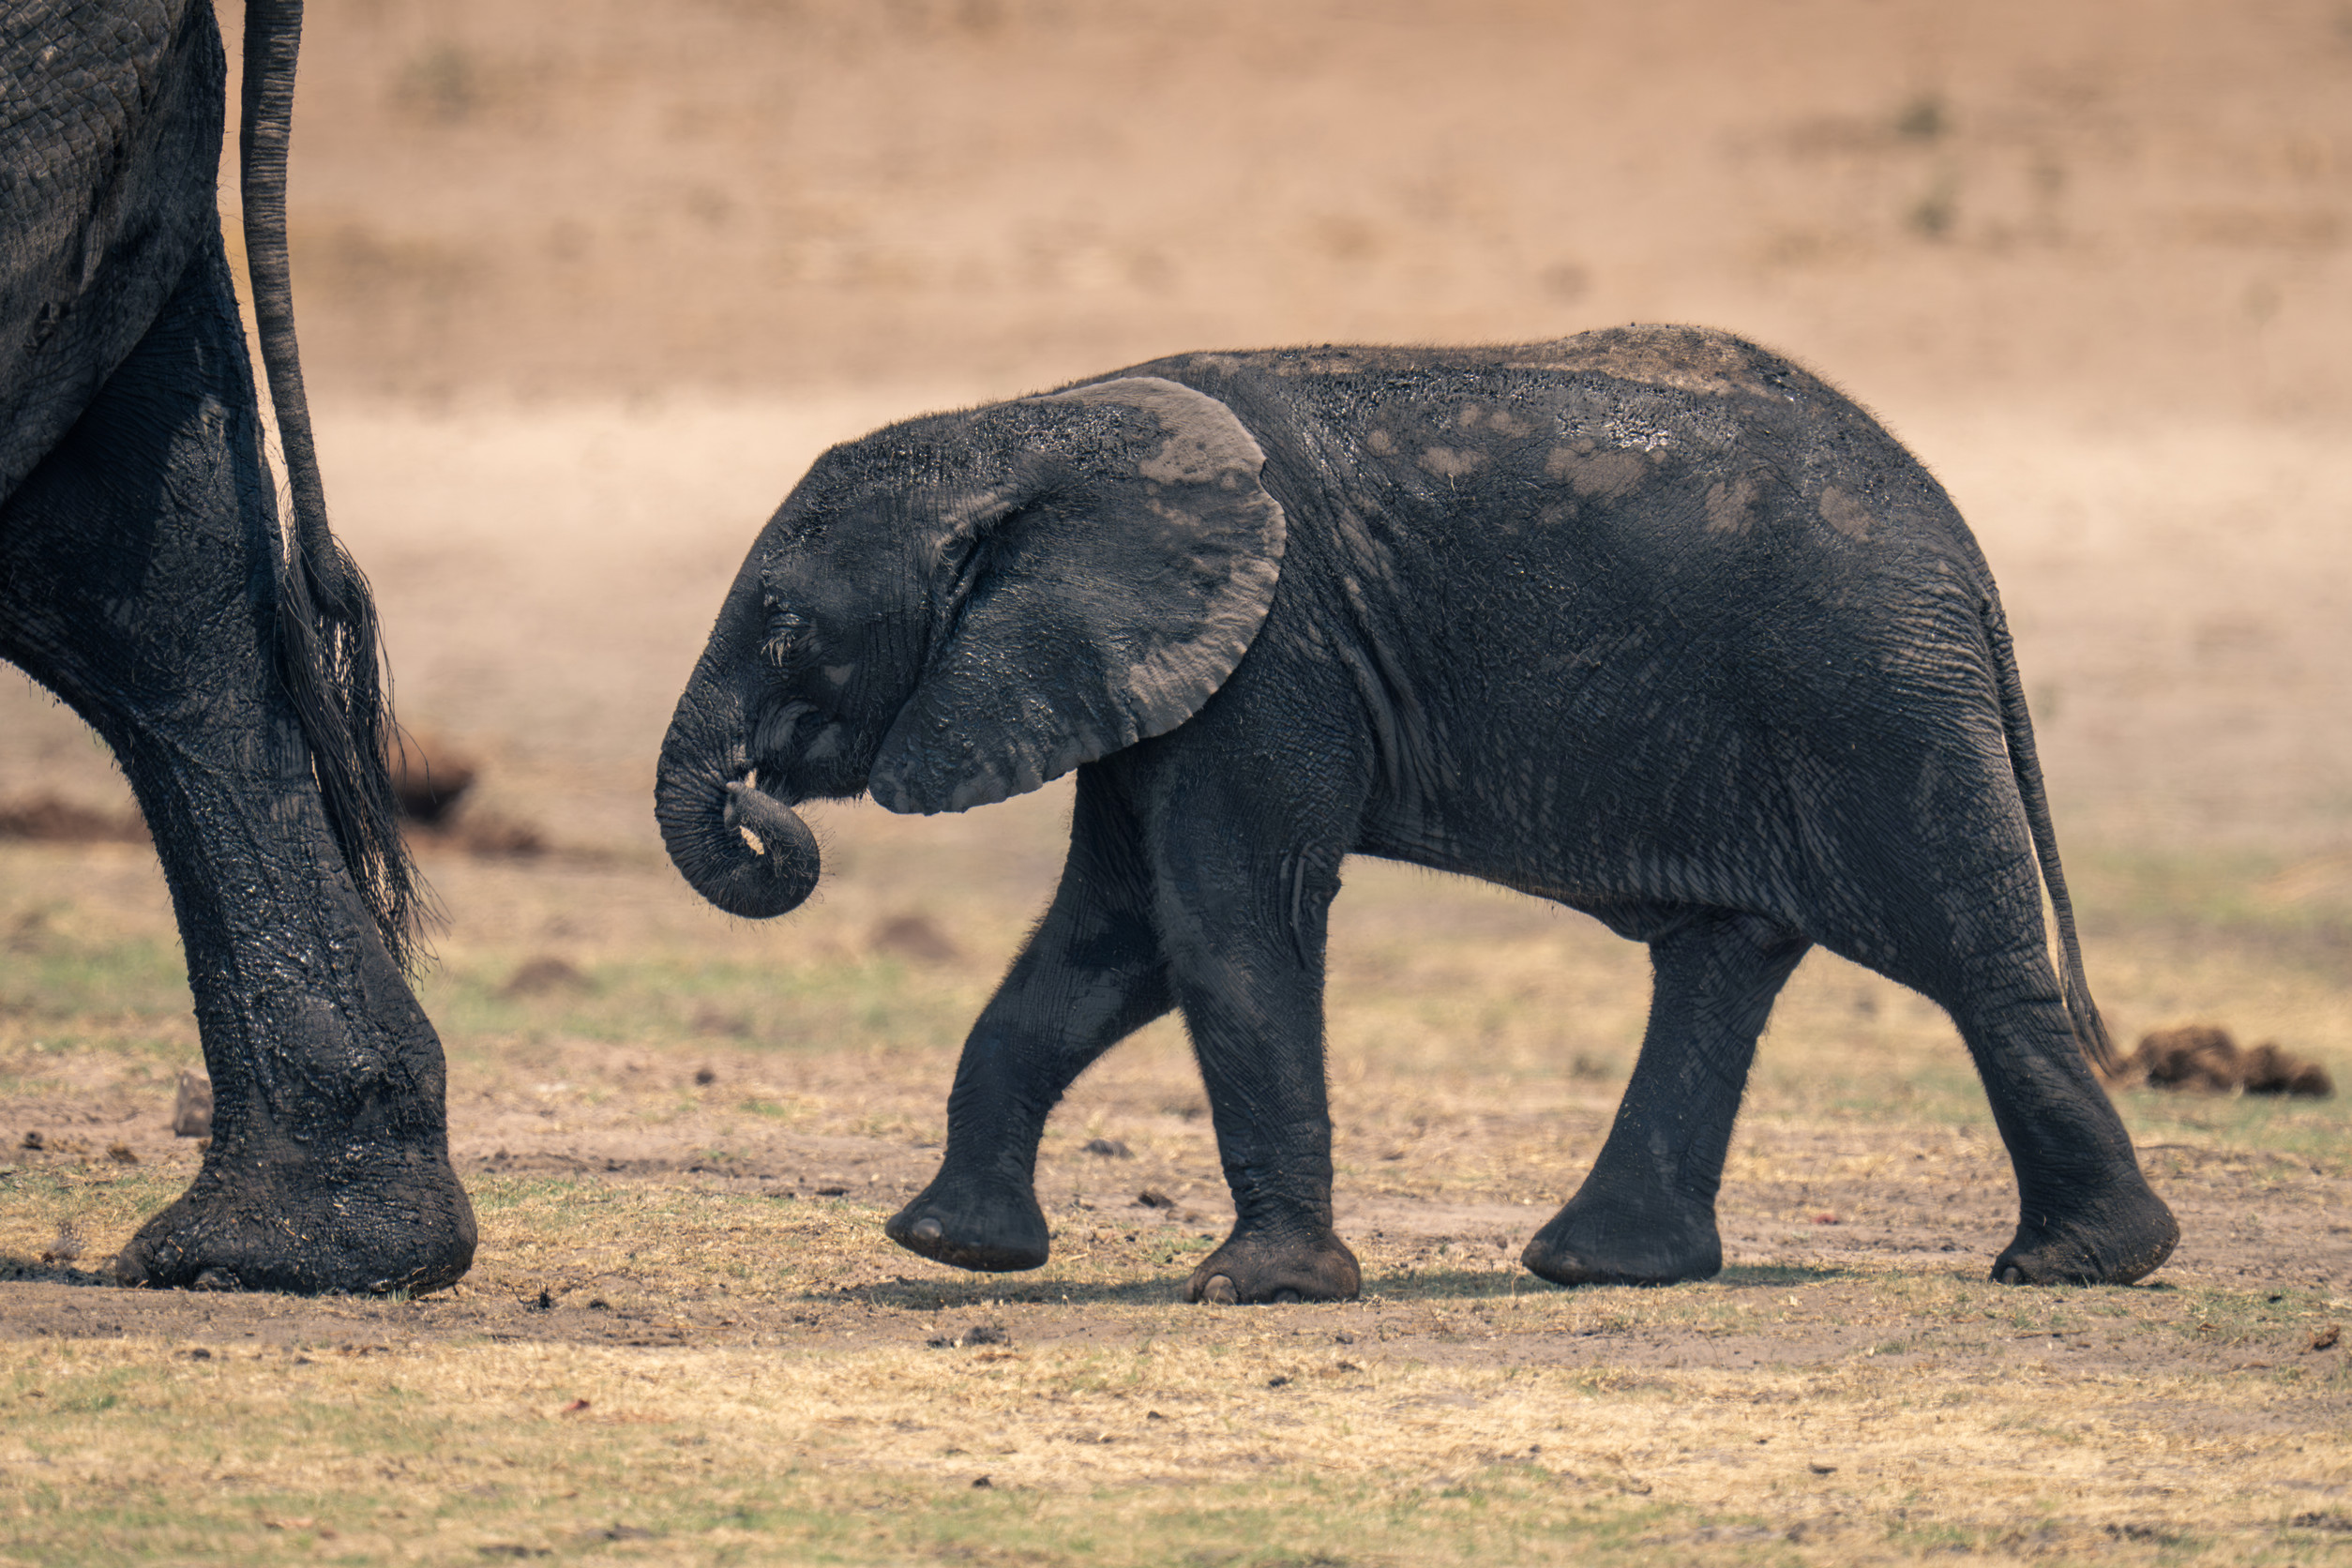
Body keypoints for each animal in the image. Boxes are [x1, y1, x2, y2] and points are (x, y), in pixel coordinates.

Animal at [654, 328, 2173, 1297]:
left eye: (785, 629)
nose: (760, 805)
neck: (1030, 425)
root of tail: (1965, 550)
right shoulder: (1154, 670)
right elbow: (1111, 943)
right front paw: (954, 1252)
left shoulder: (1271, 656)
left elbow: (1225, 927)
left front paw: (1263, 1293)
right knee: (1726, 960)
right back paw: (1599, 1268)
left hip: (1874, 700)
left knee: (1975, 964)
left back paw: (2082, 1267)